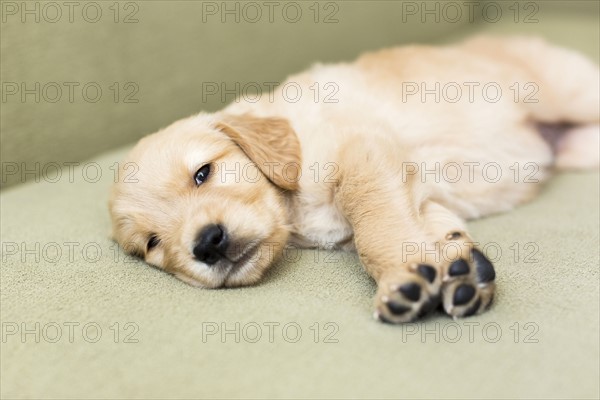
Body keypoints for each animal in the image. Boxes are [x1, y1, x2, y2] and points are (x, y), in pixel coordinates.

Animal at [110, 36, 596, 324]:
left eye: (203, 173)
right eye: (152, 244)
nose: (207, 244)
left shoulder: (365, 151)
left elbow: (374, 222)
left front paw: (404, 278)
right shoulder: (413, 189)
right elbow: (426, 223)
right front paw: (458, 265)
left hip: (571, 93)